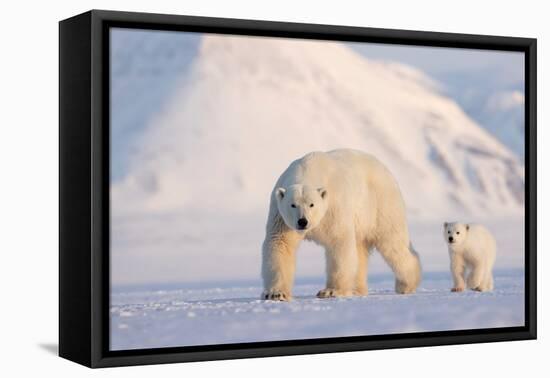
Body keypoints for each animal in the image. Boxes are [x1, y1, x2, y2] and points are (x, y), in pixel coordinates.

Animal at [262, 149, 422, 300]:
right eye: (293, 205)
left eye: (312, 204)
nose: (303, 221)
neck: (307, 169)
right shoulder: (281, 216)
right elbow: (280, 244)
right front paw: (276, 294)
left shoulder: (334, 207)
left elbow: (339, 242)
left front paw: (330, 291)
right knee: (360, 250)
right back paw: (357, 289)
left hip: (380, 204)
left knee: (392, 242)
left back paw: (406, 284)